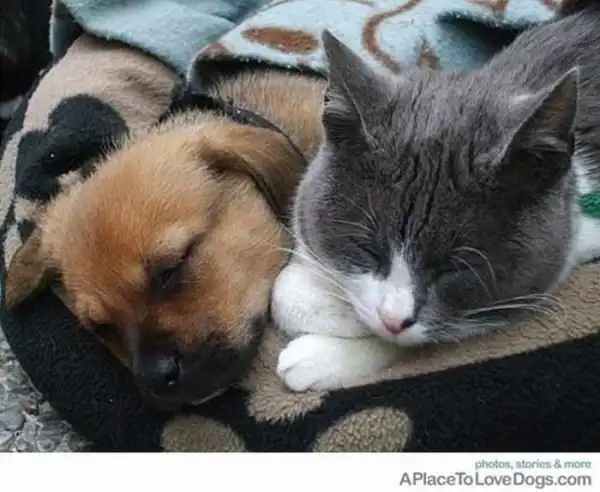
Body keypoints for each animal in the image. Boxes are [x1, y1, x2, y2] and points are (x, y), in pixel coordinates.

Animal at [270, 2, 600, 392]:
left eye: (454, 267)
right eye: (367, 249)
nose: (393, 319)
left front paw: (324, 352)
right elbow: (284, 289)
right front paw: (341, 309)